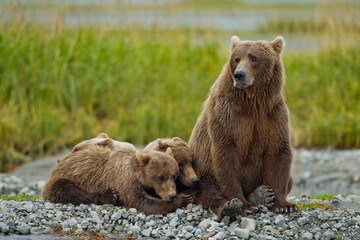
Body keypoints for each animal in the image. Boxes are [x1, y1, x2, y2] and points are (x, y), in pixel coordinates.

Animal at [43, 144, 191, 214]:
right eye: (161, 177)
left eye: (174, 175)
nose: (172, 195)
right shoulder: (124, 179)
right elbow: (140, 201)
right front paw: (182, 199)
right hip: (64, 178)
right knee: (66, 190)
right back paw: (109, 195)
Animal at [188, 35, 296, 218]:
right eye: (236, 58)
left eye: (253, 57)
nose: (239, 74)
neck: (253, 103)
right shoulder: (227, 114)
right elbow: (226, 153)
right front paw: (243, 205)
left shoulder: (272, 115)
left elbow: (278, 151)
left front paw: (284, 205)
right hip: (199, 173)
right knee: (207, 190)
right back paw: (230, 206)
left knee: (290, 180)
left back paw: (261, 194)